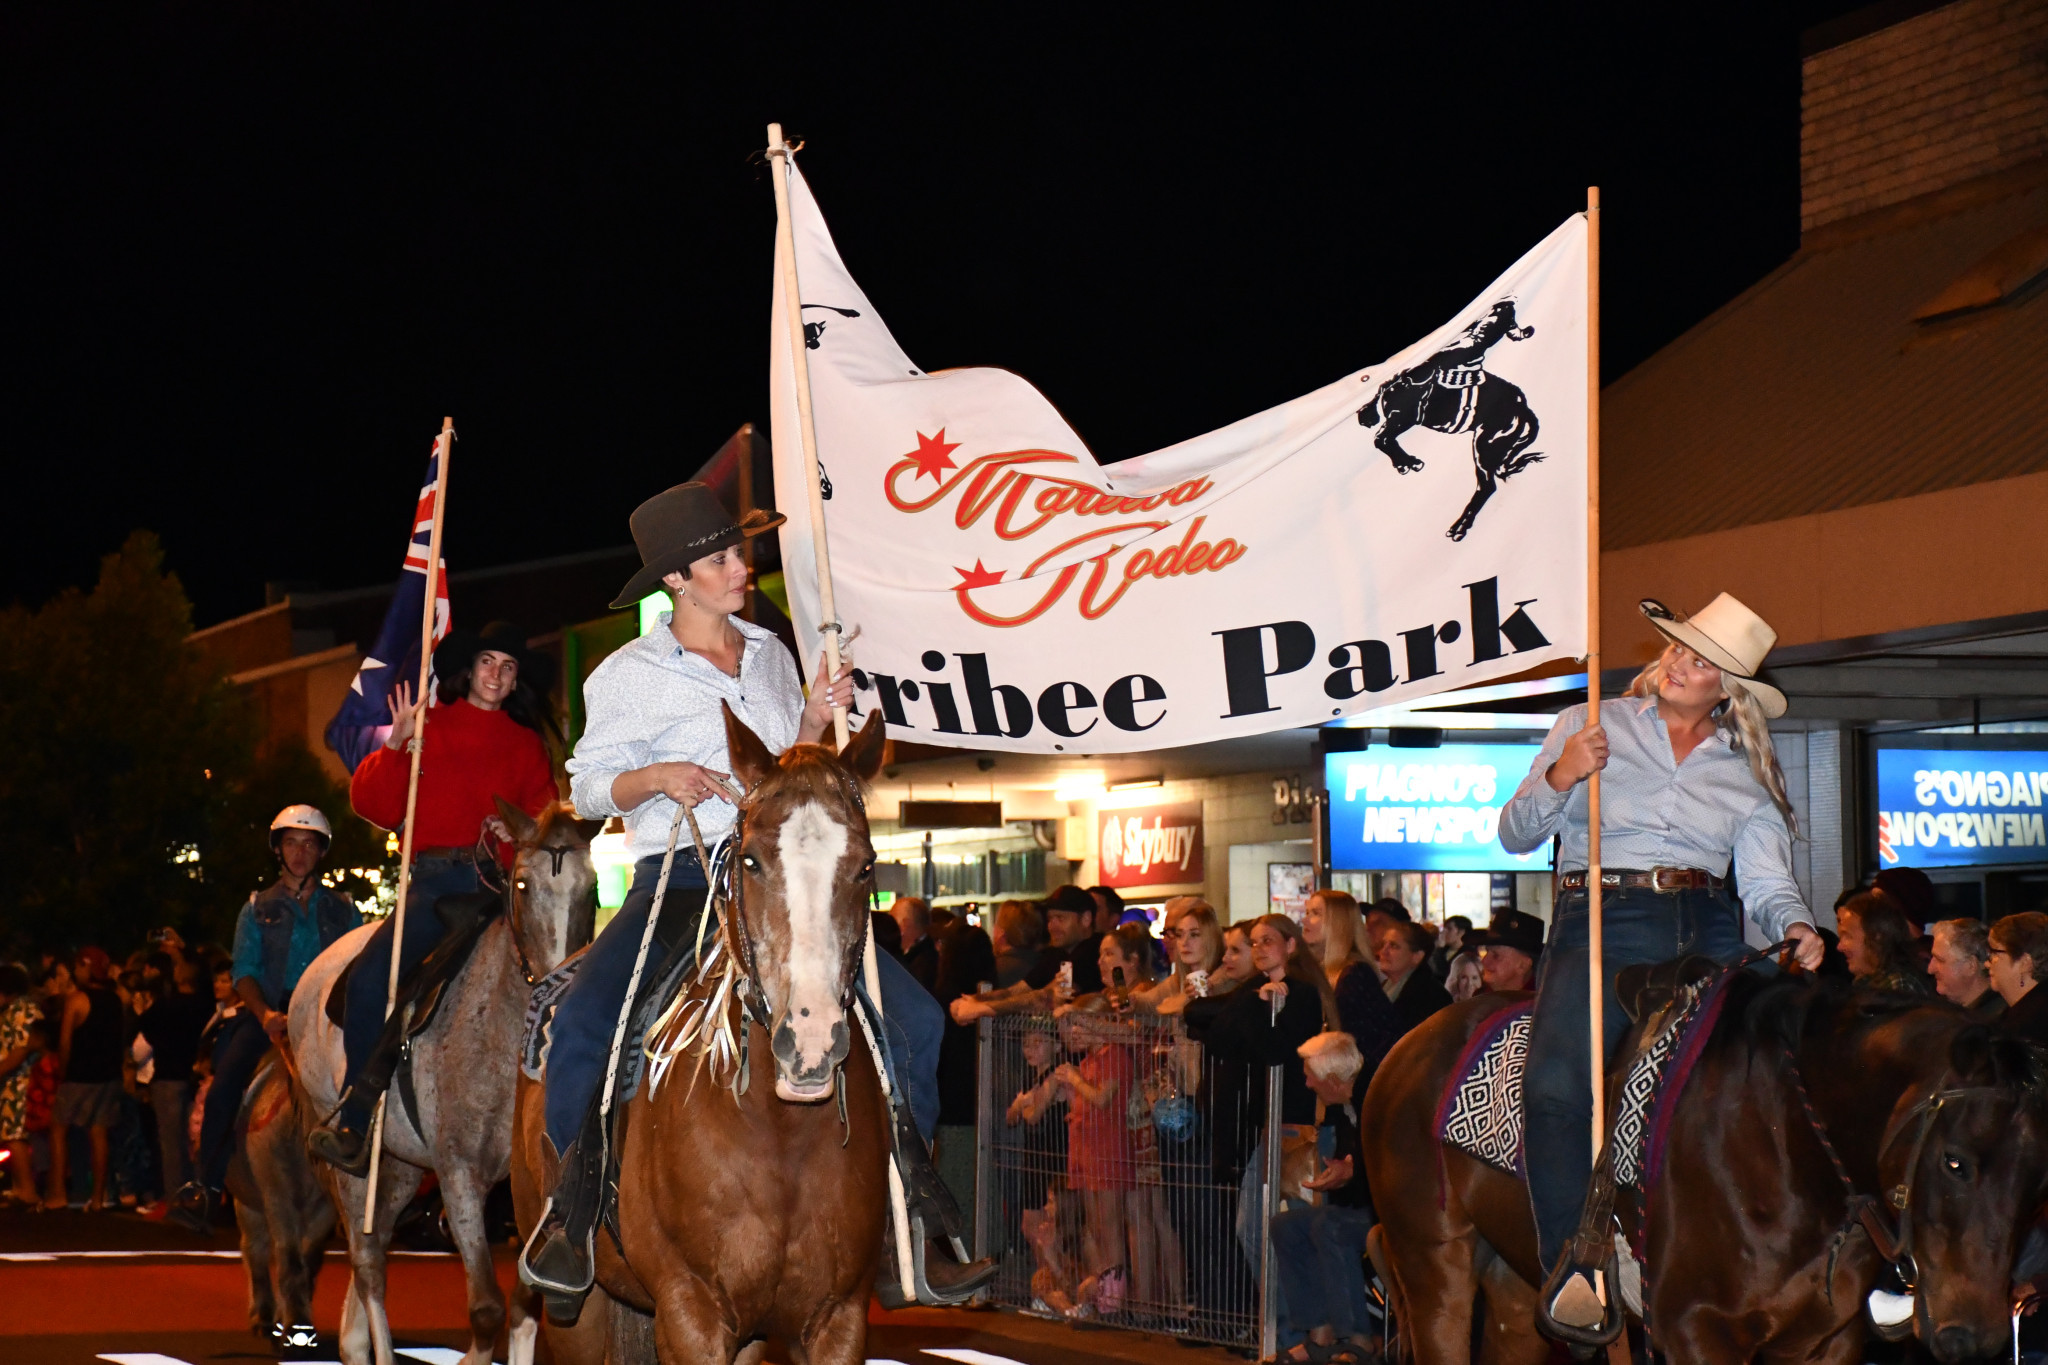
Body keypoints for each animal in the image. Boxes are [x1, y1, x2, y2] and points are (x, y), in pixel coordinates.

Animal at [294, 802, 598, 1365]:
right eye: (522, 885)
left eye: (590, 889)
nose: (560, 987)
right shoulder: (459, 1175)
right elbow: (487, 1309)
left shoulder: (533, 1188)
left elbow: (525, 1307)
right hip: (353, 1163)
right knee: (369, 1266)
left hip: (401, 1167)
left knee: (374, 1246)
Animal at [512, 703, 888, 1365]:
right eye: (751, 861)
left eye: (865, 865)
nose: (810, 1046)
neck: (781, 1129)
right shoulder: (693, 1314)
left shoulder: (837, 1320)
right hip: (577, 1313)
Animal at [1359, 978, 2048, 1365]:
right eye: (1956, 1162)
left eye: (2037, 1184)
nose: (1977, 1338)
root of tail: (1406, 1048)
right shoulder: (1699, 1333)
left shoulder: (1825, 1342)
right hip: (1434, 1267)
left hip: (1513, 1284)